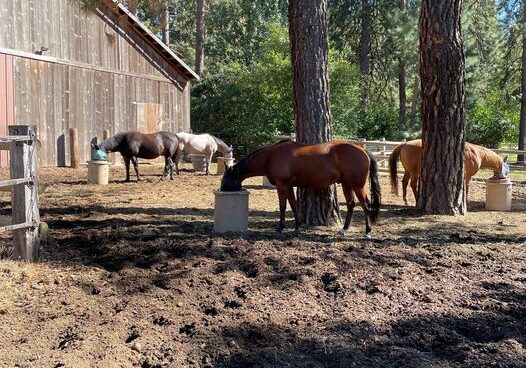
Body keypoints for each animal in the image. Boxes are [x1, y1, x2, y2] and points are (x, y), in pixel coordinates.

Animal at [221, 139, 382, 237]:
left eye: (225, 179)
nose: (222, 189)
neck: (272, 155)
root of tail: (362, 150)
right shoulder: (289, 186)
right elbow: (293, 204)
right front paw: (297, 226)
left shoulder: (281, 185)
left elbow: (283, 206)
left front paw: (280, 227)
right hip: (347, 184)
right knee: (351, 204)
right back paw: (344, 229)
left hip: (357, 185)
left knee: (365, 205)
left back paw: (367, 231)